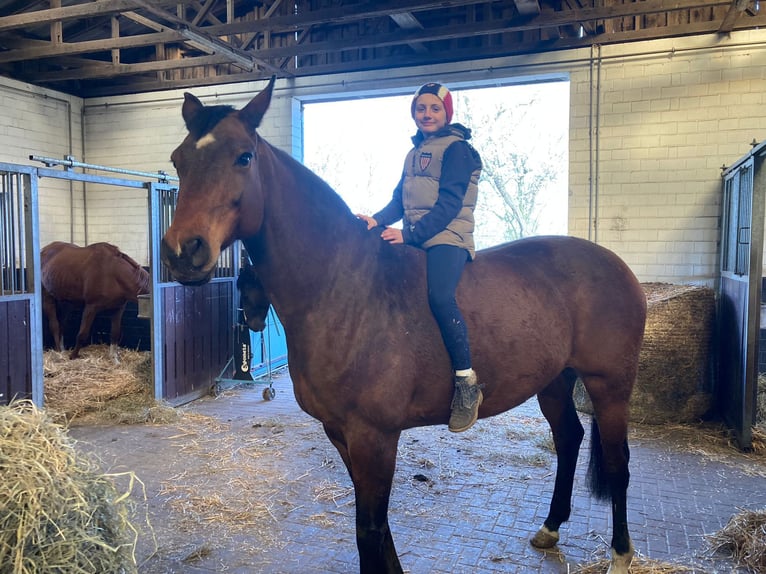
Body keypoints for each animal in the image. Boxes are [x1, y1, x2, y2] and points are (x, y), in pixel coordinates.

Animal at [160, 78, 647, 574]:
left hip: (609, 385)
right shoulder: (341, 434)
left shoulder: (375, 437)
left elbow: (369, 531)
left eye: (244, 157)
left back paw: (621, 553)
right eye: (179, 160)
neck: (344, 287)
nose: (183, 251)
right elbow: (378, 529)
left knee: (618, 463)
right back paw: (550, 528)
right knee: (569, 439)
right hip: (553, 380)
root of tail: (613, 263)